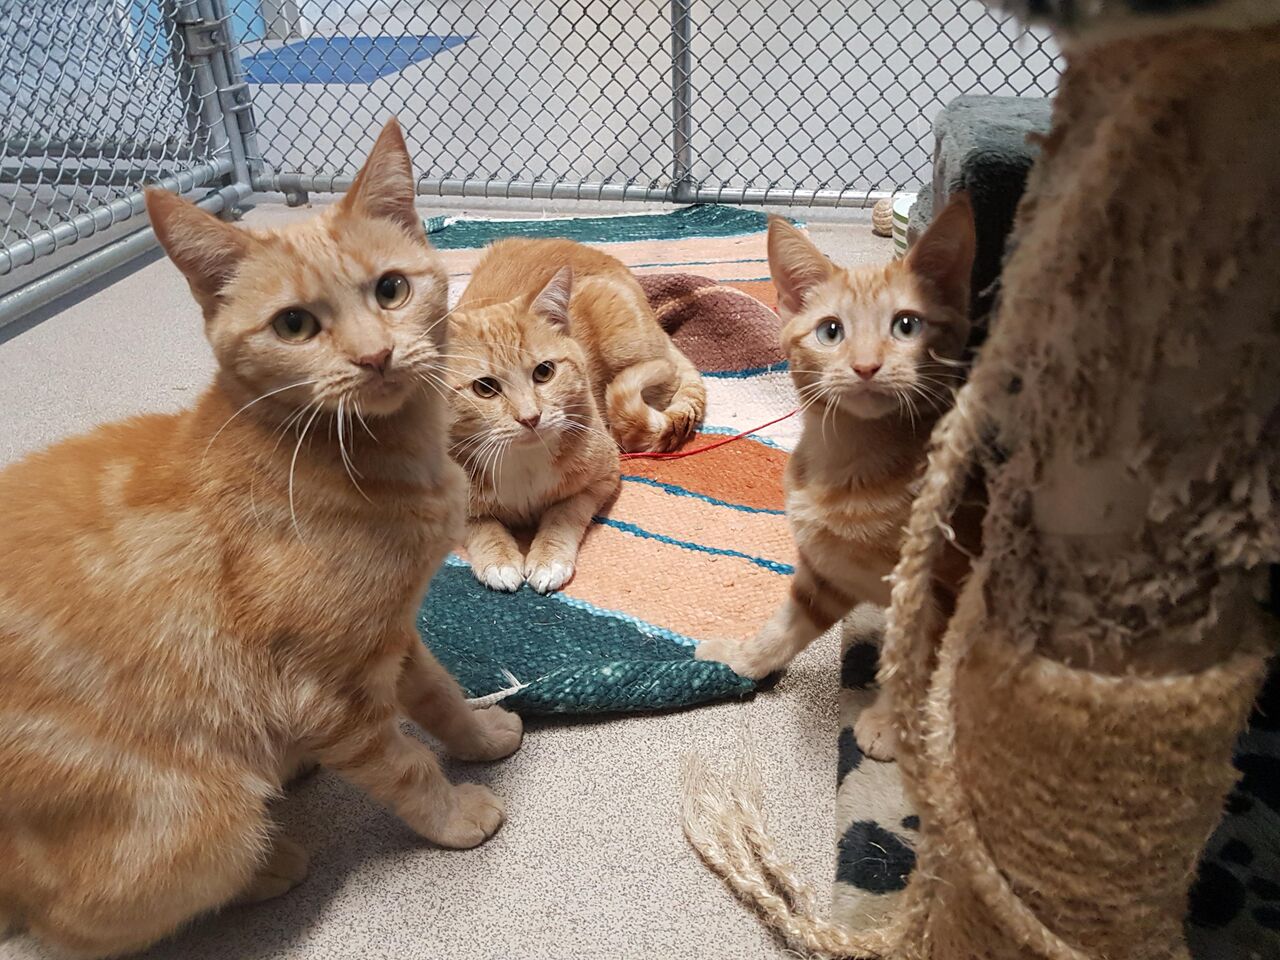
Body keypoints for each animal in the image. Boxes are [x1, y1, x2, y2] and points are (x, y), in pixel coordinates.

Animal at [1, 116, 519, 957]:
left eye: (392, 289)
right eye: (295, 325)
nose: (375, 355)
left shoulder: (389, 631)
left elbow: (437, 694)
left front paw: (477, 734)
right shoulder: (324, 691)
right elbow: (406, 762)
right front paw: (454, 812)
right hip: (205, 824)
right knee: (59, 931)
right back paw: (269, 864)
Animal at [448, 239, 711, 593]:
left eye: (544, 372)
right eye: (485, 388)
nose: (531, 417)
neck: (523, 461)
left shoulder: (602, 479)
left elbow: (564, 513)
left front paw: (549, 558)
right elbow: (479, 524)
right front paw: (499, 559)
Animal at [696, 195, 972, 762]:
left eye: (907, 325)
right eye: (830, 331)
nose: (866, 366)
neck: (850, 463)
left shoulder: (930, 590)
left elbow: (911, 661)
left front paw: (889, 723)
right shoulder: (825, 573)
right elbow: (784, 626)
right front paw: (740, 656)